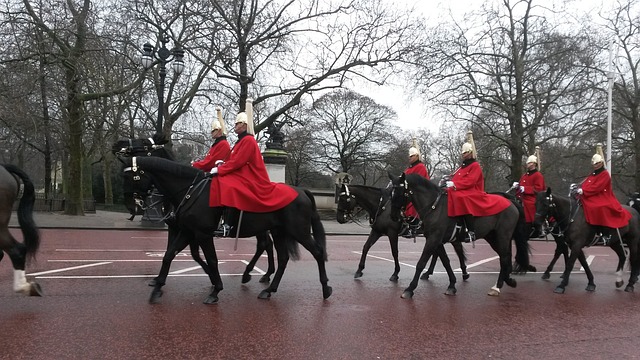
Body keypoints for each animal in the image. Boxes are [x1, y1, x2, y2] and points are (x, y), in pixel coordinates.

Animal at [119, 156, 336, 302]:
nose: (130, 207)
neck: (190, 191)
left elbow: (212, 260)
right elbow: (169, 255)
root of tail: (302, 190)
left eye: (130, 177)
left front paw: (216, 289)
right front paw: (157, 287)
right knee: (281, 256)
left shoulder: (201, 234)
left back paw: (325, 288)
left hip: (298, 231)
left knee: (316, 252)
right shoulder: (187, 231)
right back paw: (268, 288)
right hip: (278, 231)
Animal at [338, 184, 468, 282]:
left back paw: (464, 272)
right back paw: (429, 273)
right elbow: (366, 247)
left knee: (456, 249)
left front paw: (395, 273)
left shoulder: (392, 233)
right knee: (438, 253)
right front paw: (359, 270)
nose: (339, 218)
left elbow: (394, 252)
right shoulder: (376, 231)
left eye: (343, 199)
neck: (382, 206)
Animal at [388, 173, 528, 296]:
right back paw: (508, 281)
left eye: (399, 192)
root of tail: (510, 202)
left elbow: (421, 263)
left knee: (504, 257)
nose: (393, 216)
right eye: (391, 193)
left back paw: (497, 287)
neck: (434, 207)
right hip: (492, 237)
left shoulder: (433, 239)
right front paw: (452, 285)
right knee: (504, 257)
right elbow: (446, 261)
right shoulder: (437, 241)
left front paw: (410, 289)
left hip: (503, 236)